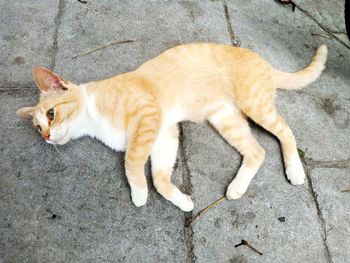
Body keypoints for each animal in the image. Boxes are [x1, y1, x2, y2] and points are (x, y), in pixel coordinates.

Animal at [16, 43, 328, 212]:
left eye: (52, 114)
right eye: (38, 127)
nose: (46, 137)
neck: (92, 117)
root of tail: (262, 60)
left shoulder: (149, 117)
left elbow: (132, 162)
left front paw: (138, 193)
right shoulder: (164, 135)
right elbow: (160, 178)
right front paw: (182, 201)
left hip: (254, 105)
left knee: (285, 132)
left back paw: (295, 170)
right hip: (225, 118)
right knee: (257, 151)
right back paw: (237, 188)